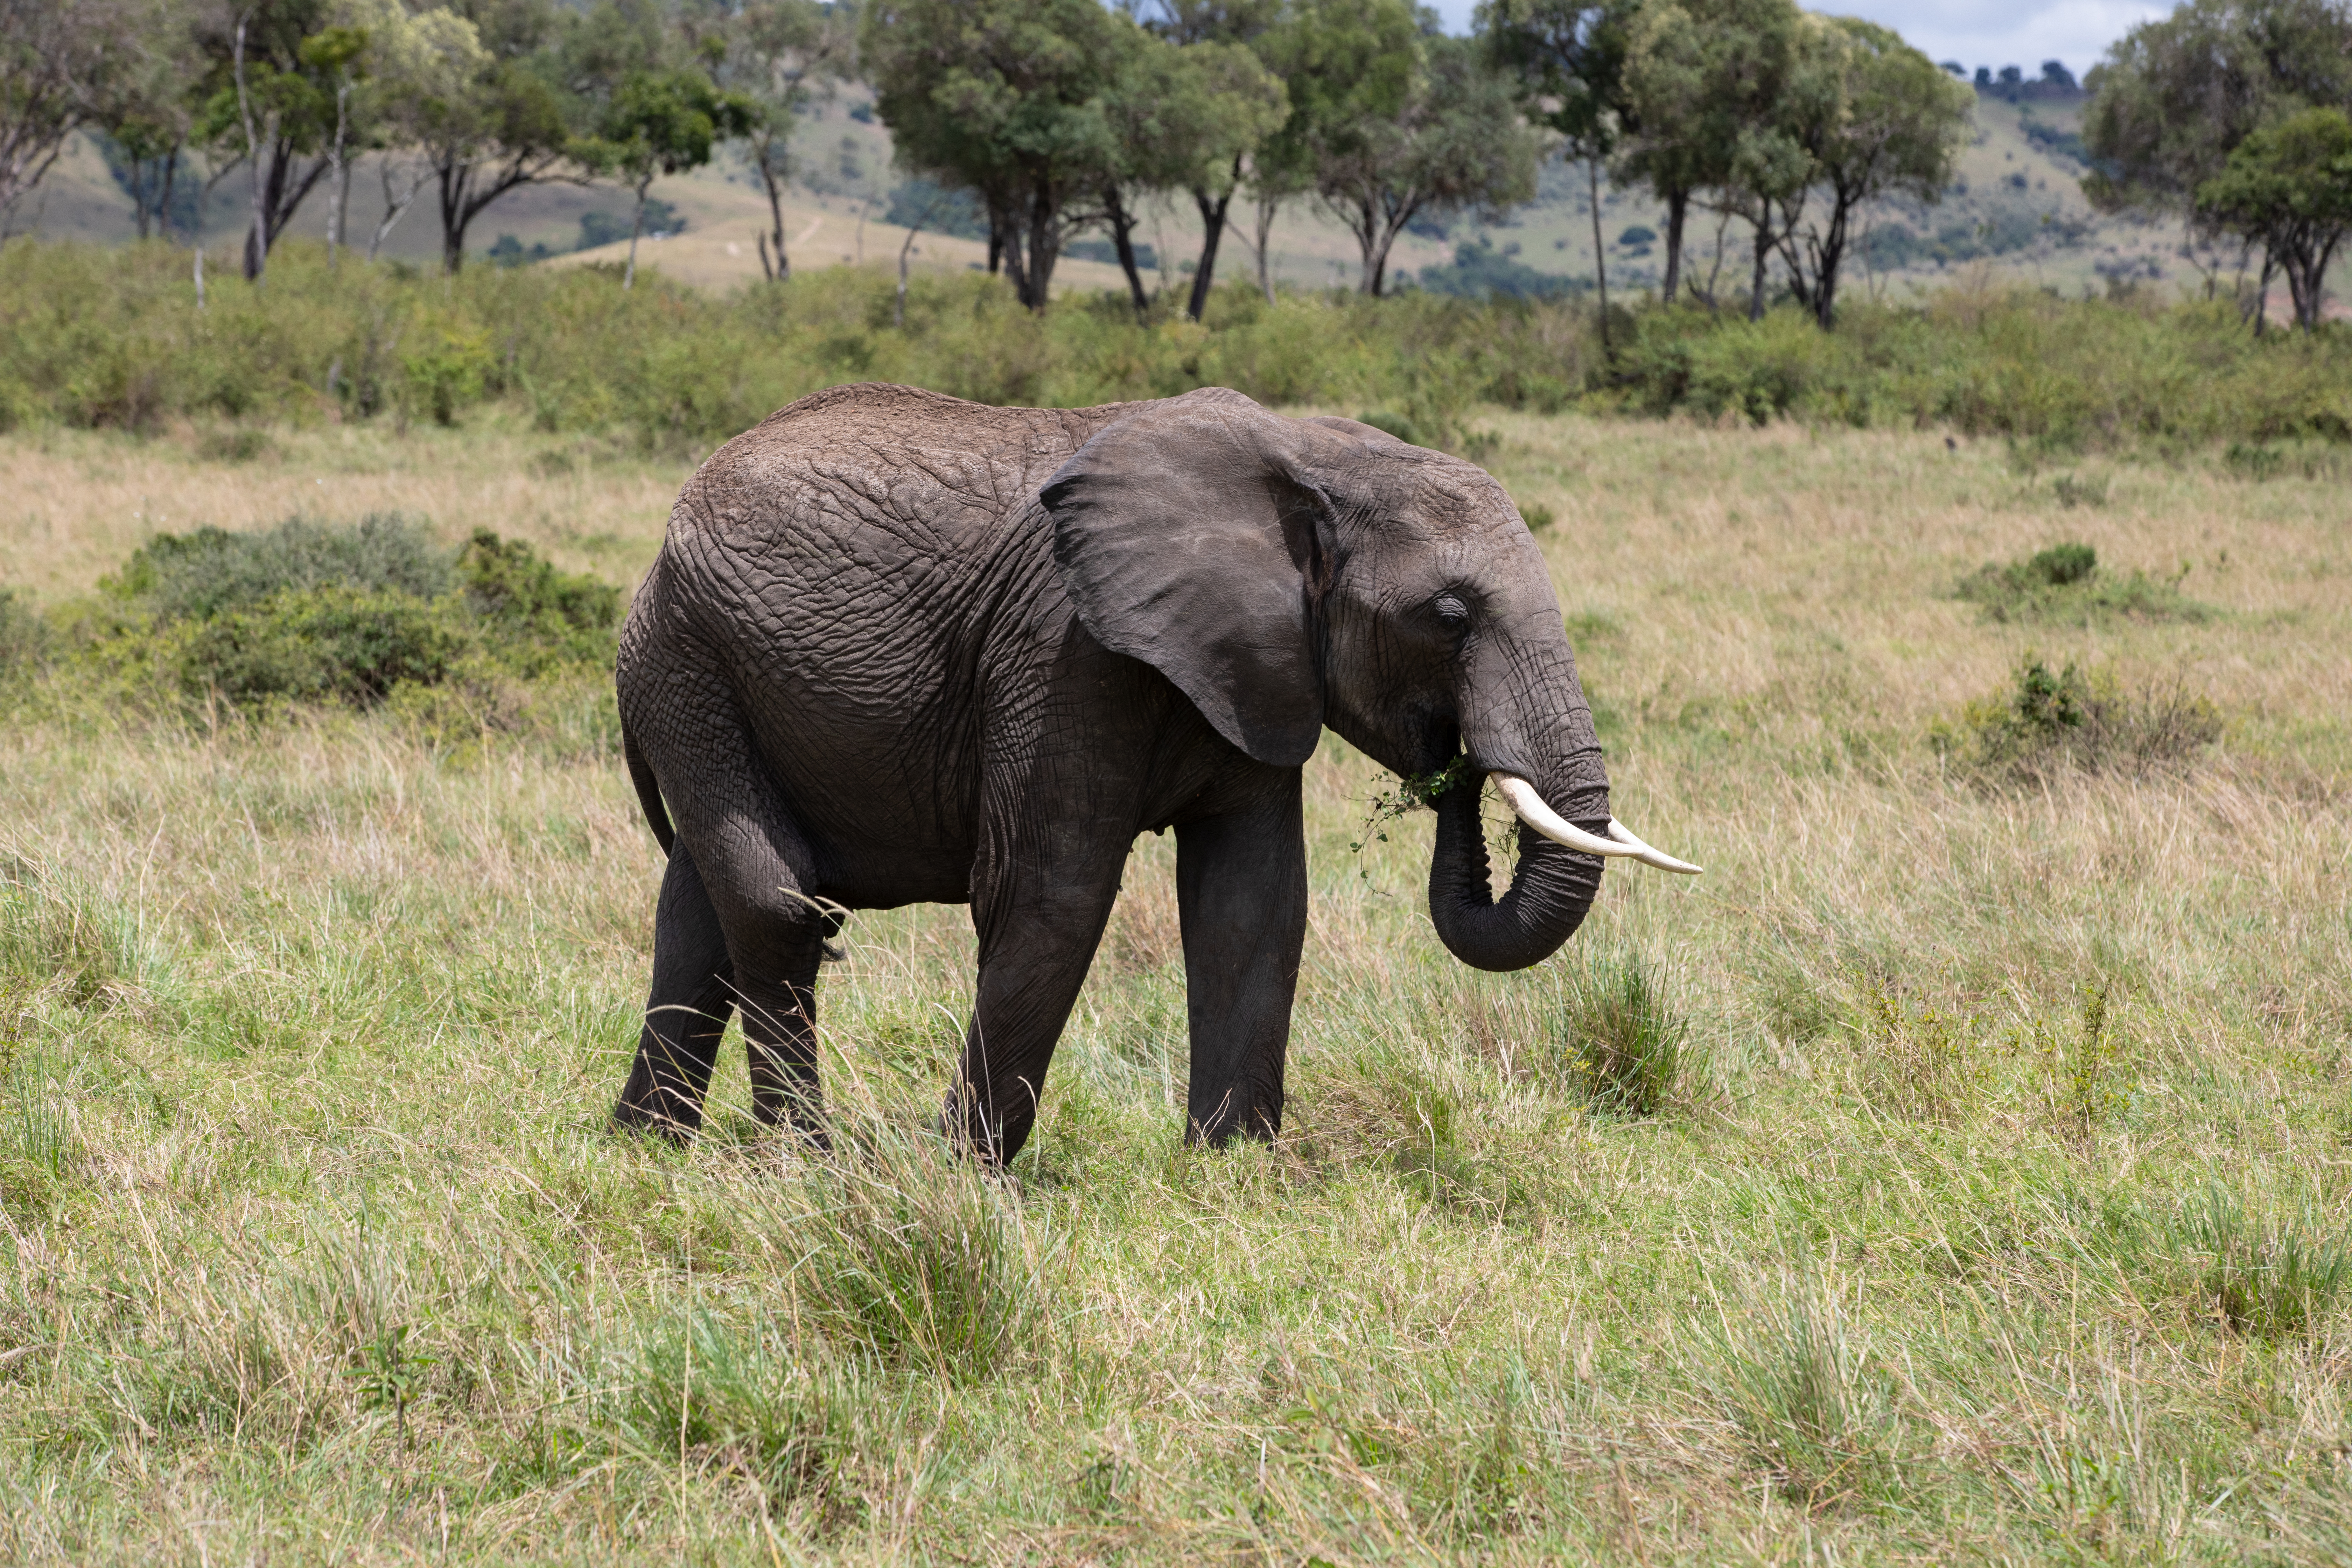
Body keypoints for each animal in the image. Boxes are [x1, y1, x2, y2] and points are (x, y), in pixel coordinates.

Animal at [611, 382, 1695, 1160]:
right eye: (1452, 617)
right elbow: (1050, 893)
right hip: (689, 659)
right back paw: (804, 1159)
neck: (1310, 457)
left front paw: (1230, 1169)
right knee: (773, 900)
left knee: (699, 907)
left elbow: (1253, 901)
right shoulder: (1064, 653)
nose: (1456, 768)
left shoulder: (1254, 663)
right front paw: (962, 1172)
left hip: (696, 677)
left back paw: (647, 1147)